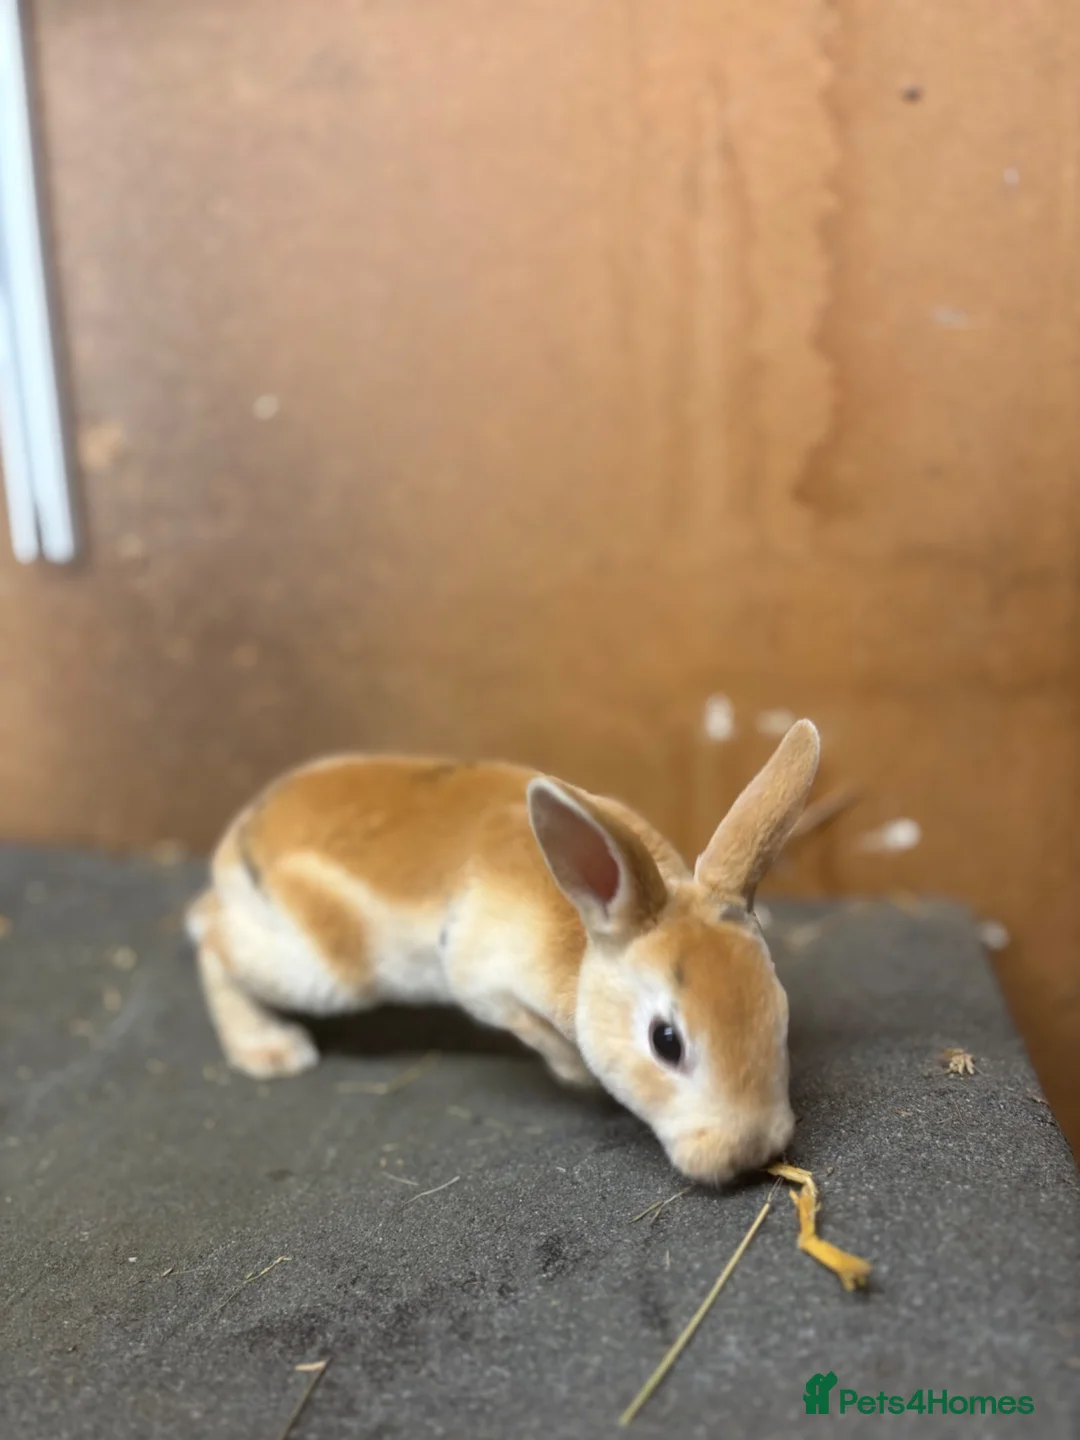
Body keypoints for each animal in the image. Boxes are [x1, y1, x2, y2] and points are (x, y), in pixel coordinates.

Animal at [187, 719, 819, 1185]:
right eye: (666, 1042)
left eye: (779, 1011)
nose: (751, 1151)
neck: (583, 949)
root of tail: (234, 842)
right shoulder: (483, 983)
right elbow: (538, 1033)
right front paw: (578, 1077)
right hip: (321, 968)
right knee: (215, 943)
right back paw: (269, 1048)